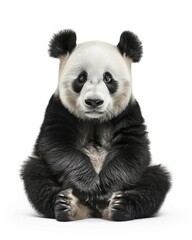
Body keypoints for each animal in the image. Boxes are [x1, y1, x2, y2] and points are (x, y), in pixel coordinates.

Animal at [21, 29, 171, 221]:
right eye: (81, 78)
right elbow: (57, 145)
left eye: (108, 78)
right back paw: (65, 205)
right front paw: (90, 187)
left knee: (156, 179)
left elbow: (131, 149)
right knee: (35, 173)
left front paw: (103, 191)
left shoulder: (128, 113)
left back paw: (120, 206)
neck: (94, 119)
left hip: (142, 176)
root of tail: (94, 211)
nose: (94, 101)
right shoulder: (59, 109)